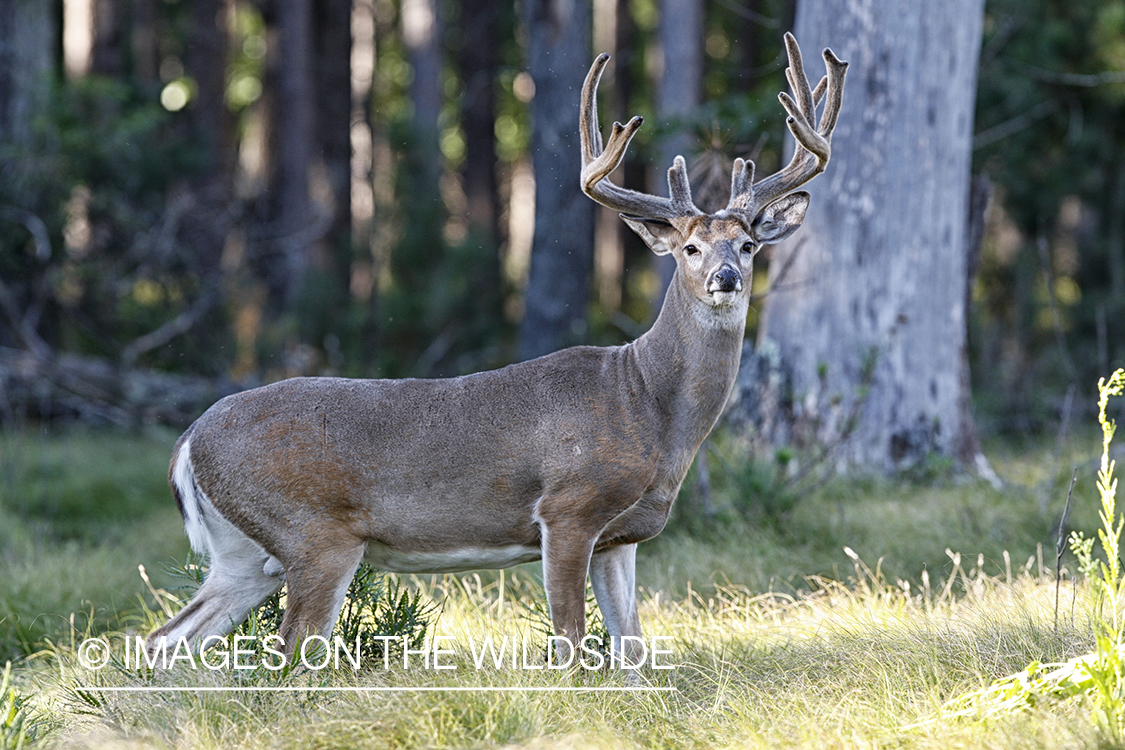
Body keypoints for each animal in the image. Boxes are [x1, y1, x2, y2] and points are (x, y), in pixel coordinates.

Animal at [151, 35, 850, 665]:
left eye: (749, 245)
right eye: (690, 247)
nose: (725, 278)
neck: (648, 404)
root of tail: (188, 441)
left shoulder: (620, 538)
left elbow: (632, 648)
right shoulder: (568, 507)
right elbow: (570, 642)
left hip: (246, 556)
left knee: (169, 639)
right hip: (315, 533)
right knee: (292, 649)